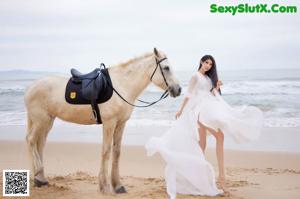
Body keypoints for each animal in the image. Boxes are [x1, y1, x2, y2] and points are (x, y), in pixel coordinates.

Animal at [24, 48, 180, 194]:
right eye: (166, 67)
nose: (178, 89)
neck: (121, 85)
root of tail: (31, 88)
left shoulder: (121, 124)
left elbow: (116, 152)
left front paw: (118, 185)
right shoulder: (109, 123)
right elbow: (106, 151)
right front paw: (104, 186)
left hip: (47, 121)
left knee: (40, 144)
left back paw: (41, 178)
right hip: (40, 120)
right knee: (31, 140)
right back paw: (39, 176)